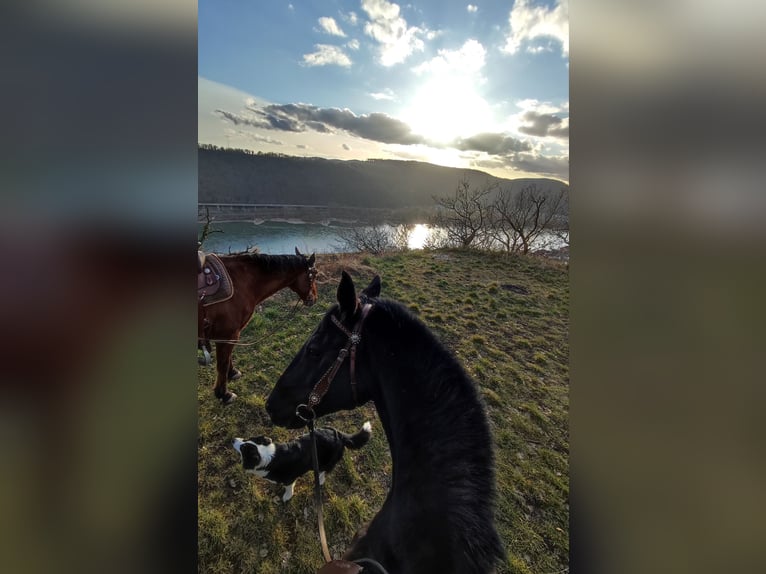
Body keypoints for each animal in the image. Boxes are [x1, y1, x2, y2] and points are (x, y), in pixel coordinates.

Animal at [201, 248, 318, 404]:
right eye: (314, 274)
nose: (314, 299)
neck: (239, 282)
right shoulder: (228, 334)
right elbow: (222, 364)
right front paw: (223, 394)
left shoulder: (230, 335)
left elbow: (227, 358)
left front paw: (232, 373)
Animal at [236, 420, 374, 502]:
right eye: (245, 439)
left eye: (242, 448)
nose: (233, 439)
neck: (267, 456)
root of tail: (339, 435)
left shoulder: (289, 479)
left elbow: (288, 488)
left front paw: (287, 497)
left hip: (326, 462)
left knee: (324, 472)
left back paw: (319, 480)